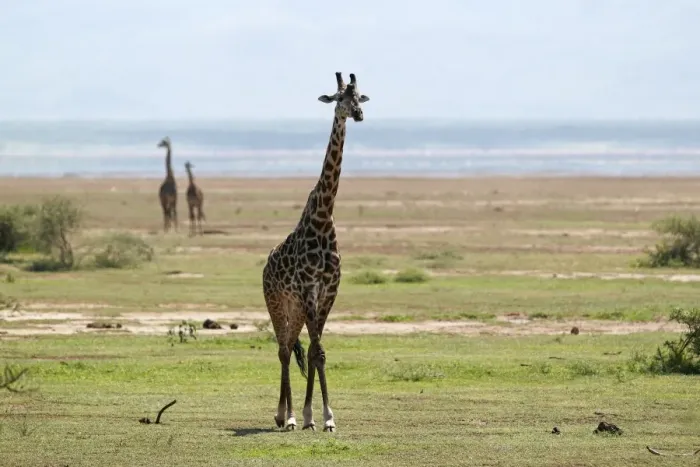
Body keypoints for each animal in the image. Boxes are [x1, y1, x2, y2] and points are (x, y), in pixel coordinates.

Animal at [262, 72, 369, 432]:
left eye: (359, 96)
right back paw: (286, 416)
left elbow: (315, 351)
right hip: (277, 302)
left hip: (294, 308)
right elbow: (315, 350)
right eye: (338, 99)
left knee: (294, 347)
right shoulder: (309, 289)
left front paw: (322, 417)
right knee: (283, 350)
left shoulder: (329, 290)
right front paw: (312, 416)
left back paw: (290, 415)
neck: (323, 218)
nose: (357, 115)